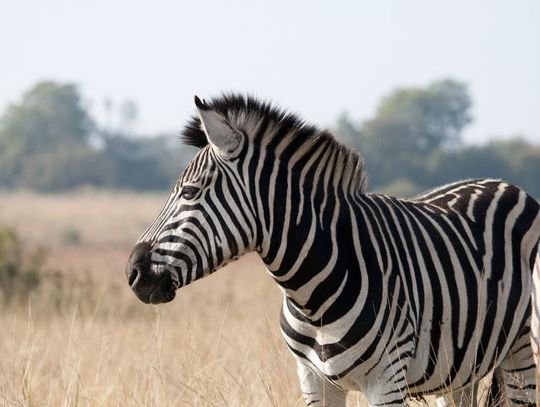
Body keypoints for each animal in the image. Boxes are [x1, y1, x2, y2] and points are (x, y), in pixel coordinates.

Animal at [126, 94, 540, 406]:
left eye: (189, 192)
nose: (132, 272)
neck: (312, 295)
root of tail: (504, 183)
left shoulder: (387, 381)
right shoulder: (313, 379)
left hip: (522, 354)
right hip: (460, 368)